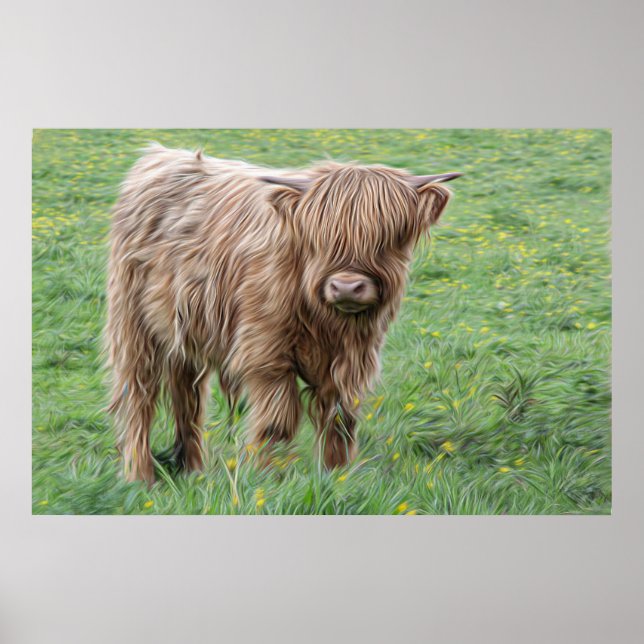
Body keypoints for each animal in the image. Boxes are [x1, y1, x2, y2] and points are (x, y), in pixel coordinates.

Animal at [106, 144, 461, 483]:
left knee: (187, 400)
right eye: (320, 237)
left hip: (182, 333)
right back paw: (140, 477)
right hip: (133, 328)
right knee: (138, 398)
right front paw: (269, 481)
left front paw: (338, 478)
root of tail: (161, 155)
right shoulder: (267, 356)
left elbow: (340, 421)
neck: (327, 321)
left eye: (388, 236)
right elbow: (277, 424)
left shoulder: (353, 361)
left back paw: (192, 472)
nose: (347, 287)